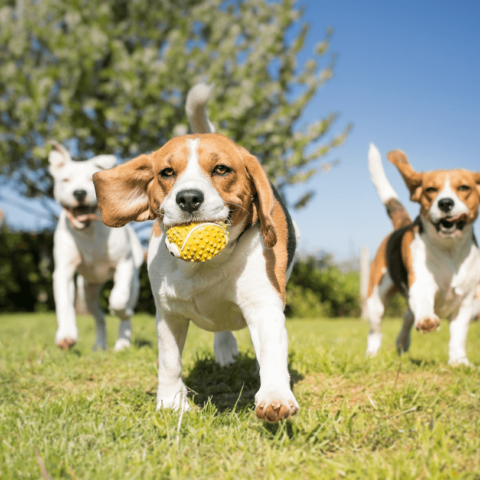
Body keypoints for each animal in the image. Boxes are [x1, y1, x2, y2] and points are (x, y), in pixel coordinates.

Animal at [93, 84, 300, 422]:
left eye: (221, 169)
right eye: (166, 172)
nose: (189, 198)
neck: (203, 266)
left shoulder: (264, 305)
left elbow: (271, 353)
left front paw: (274, 396)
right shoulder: (168, 314)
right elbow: (169, 361)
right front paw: (170, 403)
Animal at [364, 142, 480, 364]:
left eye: (464, 187)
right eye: (430, 190)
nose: (445, 203)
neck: (449, 249)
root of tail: (403, 225)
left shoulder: (466, 301)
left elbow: (459, 335)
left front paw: (459, 361)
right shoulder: (421, 283)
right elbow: (424, 302)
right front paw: (427, 320)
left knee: (408, 315)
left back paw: (402, 343)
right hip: (375, 301)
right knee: (375, 331)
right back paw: (372, 354)